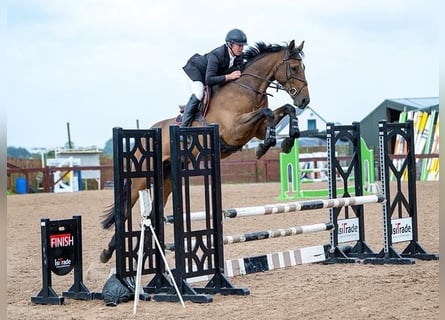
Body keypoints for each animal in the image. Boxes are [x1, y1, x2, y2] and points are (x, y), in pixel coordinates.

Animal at [99, 39, 308, 262]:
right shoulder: (234, 130)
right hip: (140, 178)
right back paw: (107, 253)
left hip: (166, 180)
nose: (305, 100)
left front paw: (285, 142)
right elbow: (267, 112)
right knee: (125, 211)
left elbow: (286, 109)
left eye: (303, 67)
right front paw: (266, 146)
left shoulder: (256, 129)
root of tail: (149, 132)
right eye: (294, 68)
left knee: (153, 216)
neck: (248, 89)